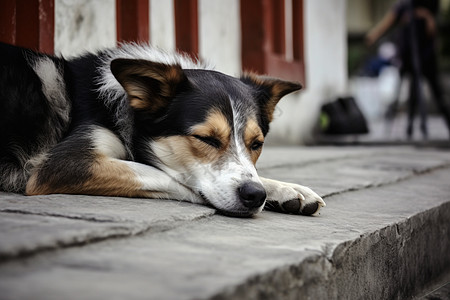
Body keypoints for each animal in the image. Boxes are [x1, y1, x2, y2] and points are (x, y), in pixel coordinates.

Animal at [0, 41, 324, 216]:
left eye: (257, 144)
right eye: (205, 139)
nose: (255, 196)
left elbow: (250, 173)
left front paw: (287, 189)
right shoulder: (66, 163)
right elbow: (162, 174)